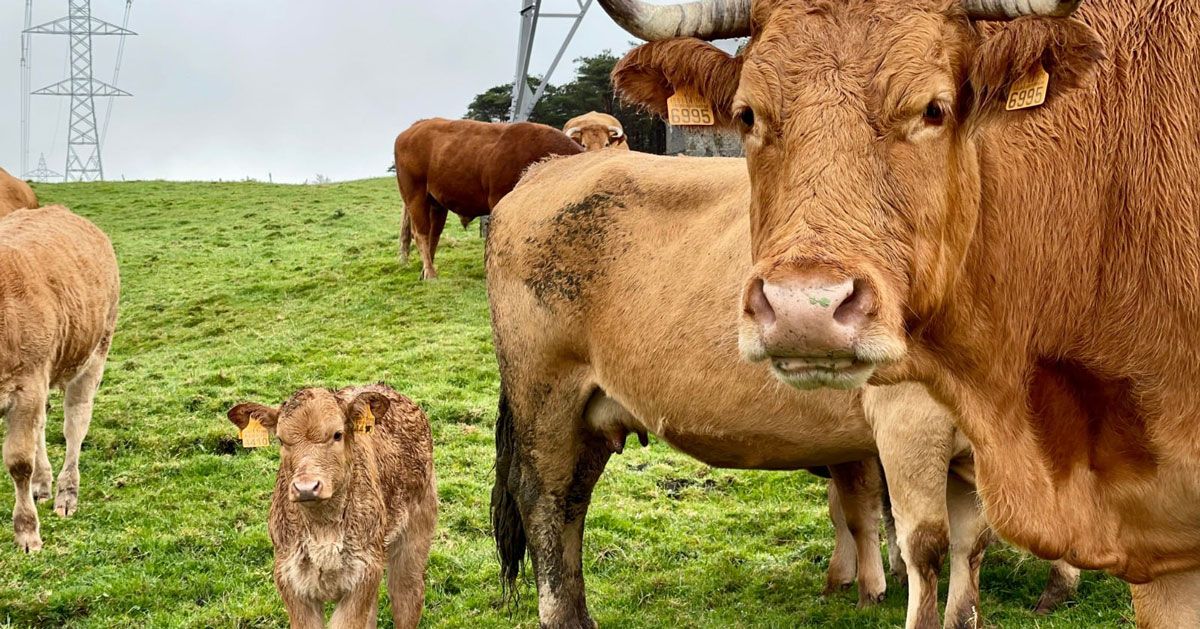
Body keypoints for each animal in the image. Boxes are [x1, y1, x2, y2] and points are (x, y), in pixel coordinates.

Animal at [225, 384, 436, 629]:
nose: (306, 487)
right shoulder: (289, 578)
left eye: (337, 434)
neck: (323, 528)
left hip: (417, 528)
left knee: (407, 595)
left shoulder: (362, 574)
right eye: (281, 440)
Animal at [391, 118, 583, 279]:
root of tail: (416, 126)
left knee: (433, 235)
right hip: (415, 197)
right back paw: (430, 274)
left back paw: (425, 272)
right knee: (421, 234)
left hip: (437, 204)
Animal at [487, 150, 1080, 624]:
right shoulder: (907, 423)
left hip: (591, 413)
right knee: (543, 500)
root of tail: (546, 170)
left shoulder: (974, 451)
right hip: (546, 395)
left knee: (572, 505)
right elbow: (924, 544)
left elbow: (970, 544)